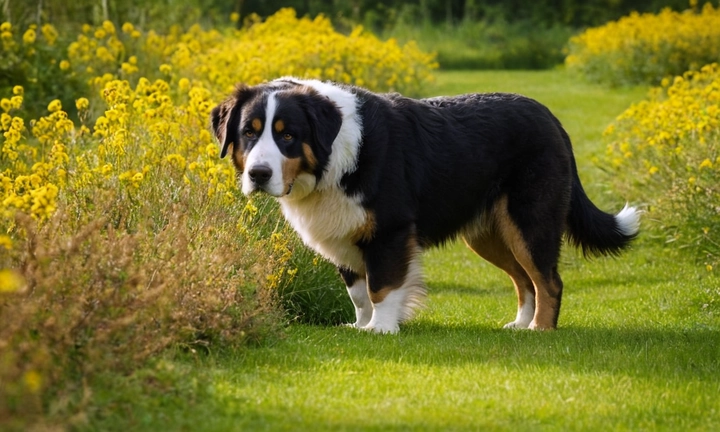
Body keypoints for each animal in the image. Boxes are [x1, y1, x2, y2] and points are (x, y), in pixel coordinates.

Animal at [210, 77, 640, 334]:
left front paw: (382, 329)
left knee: (548, 280)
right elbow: (359, 293)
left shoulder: (390, 231)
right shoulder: (342, 234)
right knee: (524, 279)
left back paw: (540, 330)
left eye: (288, 136)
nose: (258, 174)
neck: (334, 159)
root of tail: (550, 116)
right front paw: (361, 326)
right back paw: (521, 324)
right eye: (249, 132)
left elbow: (382, 286)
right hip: (489, 235)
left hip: (529, 221)